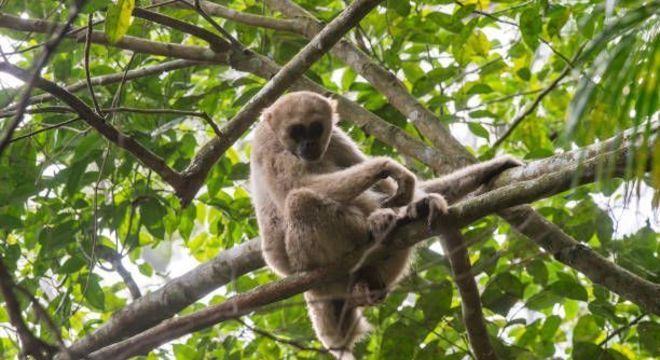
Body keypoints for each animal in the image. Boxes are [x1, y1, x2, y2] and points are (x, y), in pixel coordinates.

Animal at [250, 92, 524, 358]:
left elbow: (393, 185)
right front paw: (385, 166)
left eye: (316, 128)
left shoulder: (335, 138)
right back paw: (378, 228)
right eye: (296, 131)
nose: (307, 144)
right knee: (299, 200)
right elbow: (295, 186)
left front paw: (489, 169)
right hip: (304, 259)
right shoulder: (266, 141)